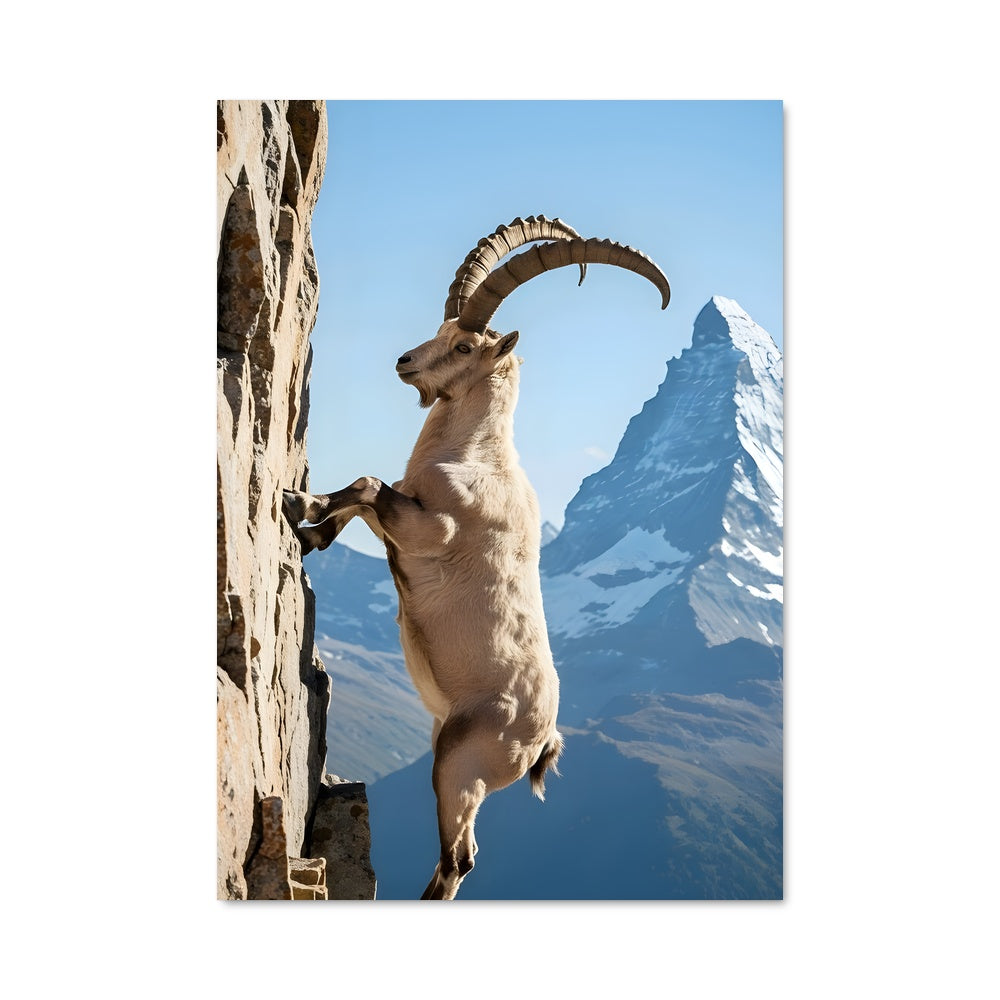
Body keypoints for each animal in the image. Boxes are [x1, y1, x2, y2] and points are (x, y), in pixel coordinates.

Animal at [283, 216, 670, 899]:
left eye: (466, 347)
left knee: (458, 860)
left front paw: (303, 507)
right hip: (455, 756)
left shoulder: (430, 528)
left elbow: (366, 484)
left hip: (460, 765)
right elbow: (367, 498)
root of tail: (543, 742)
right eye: (442, 334)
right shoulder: (405, 512)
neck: (473, 456)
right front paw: (315, 533)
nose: (405, 362)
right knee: (460, 856)